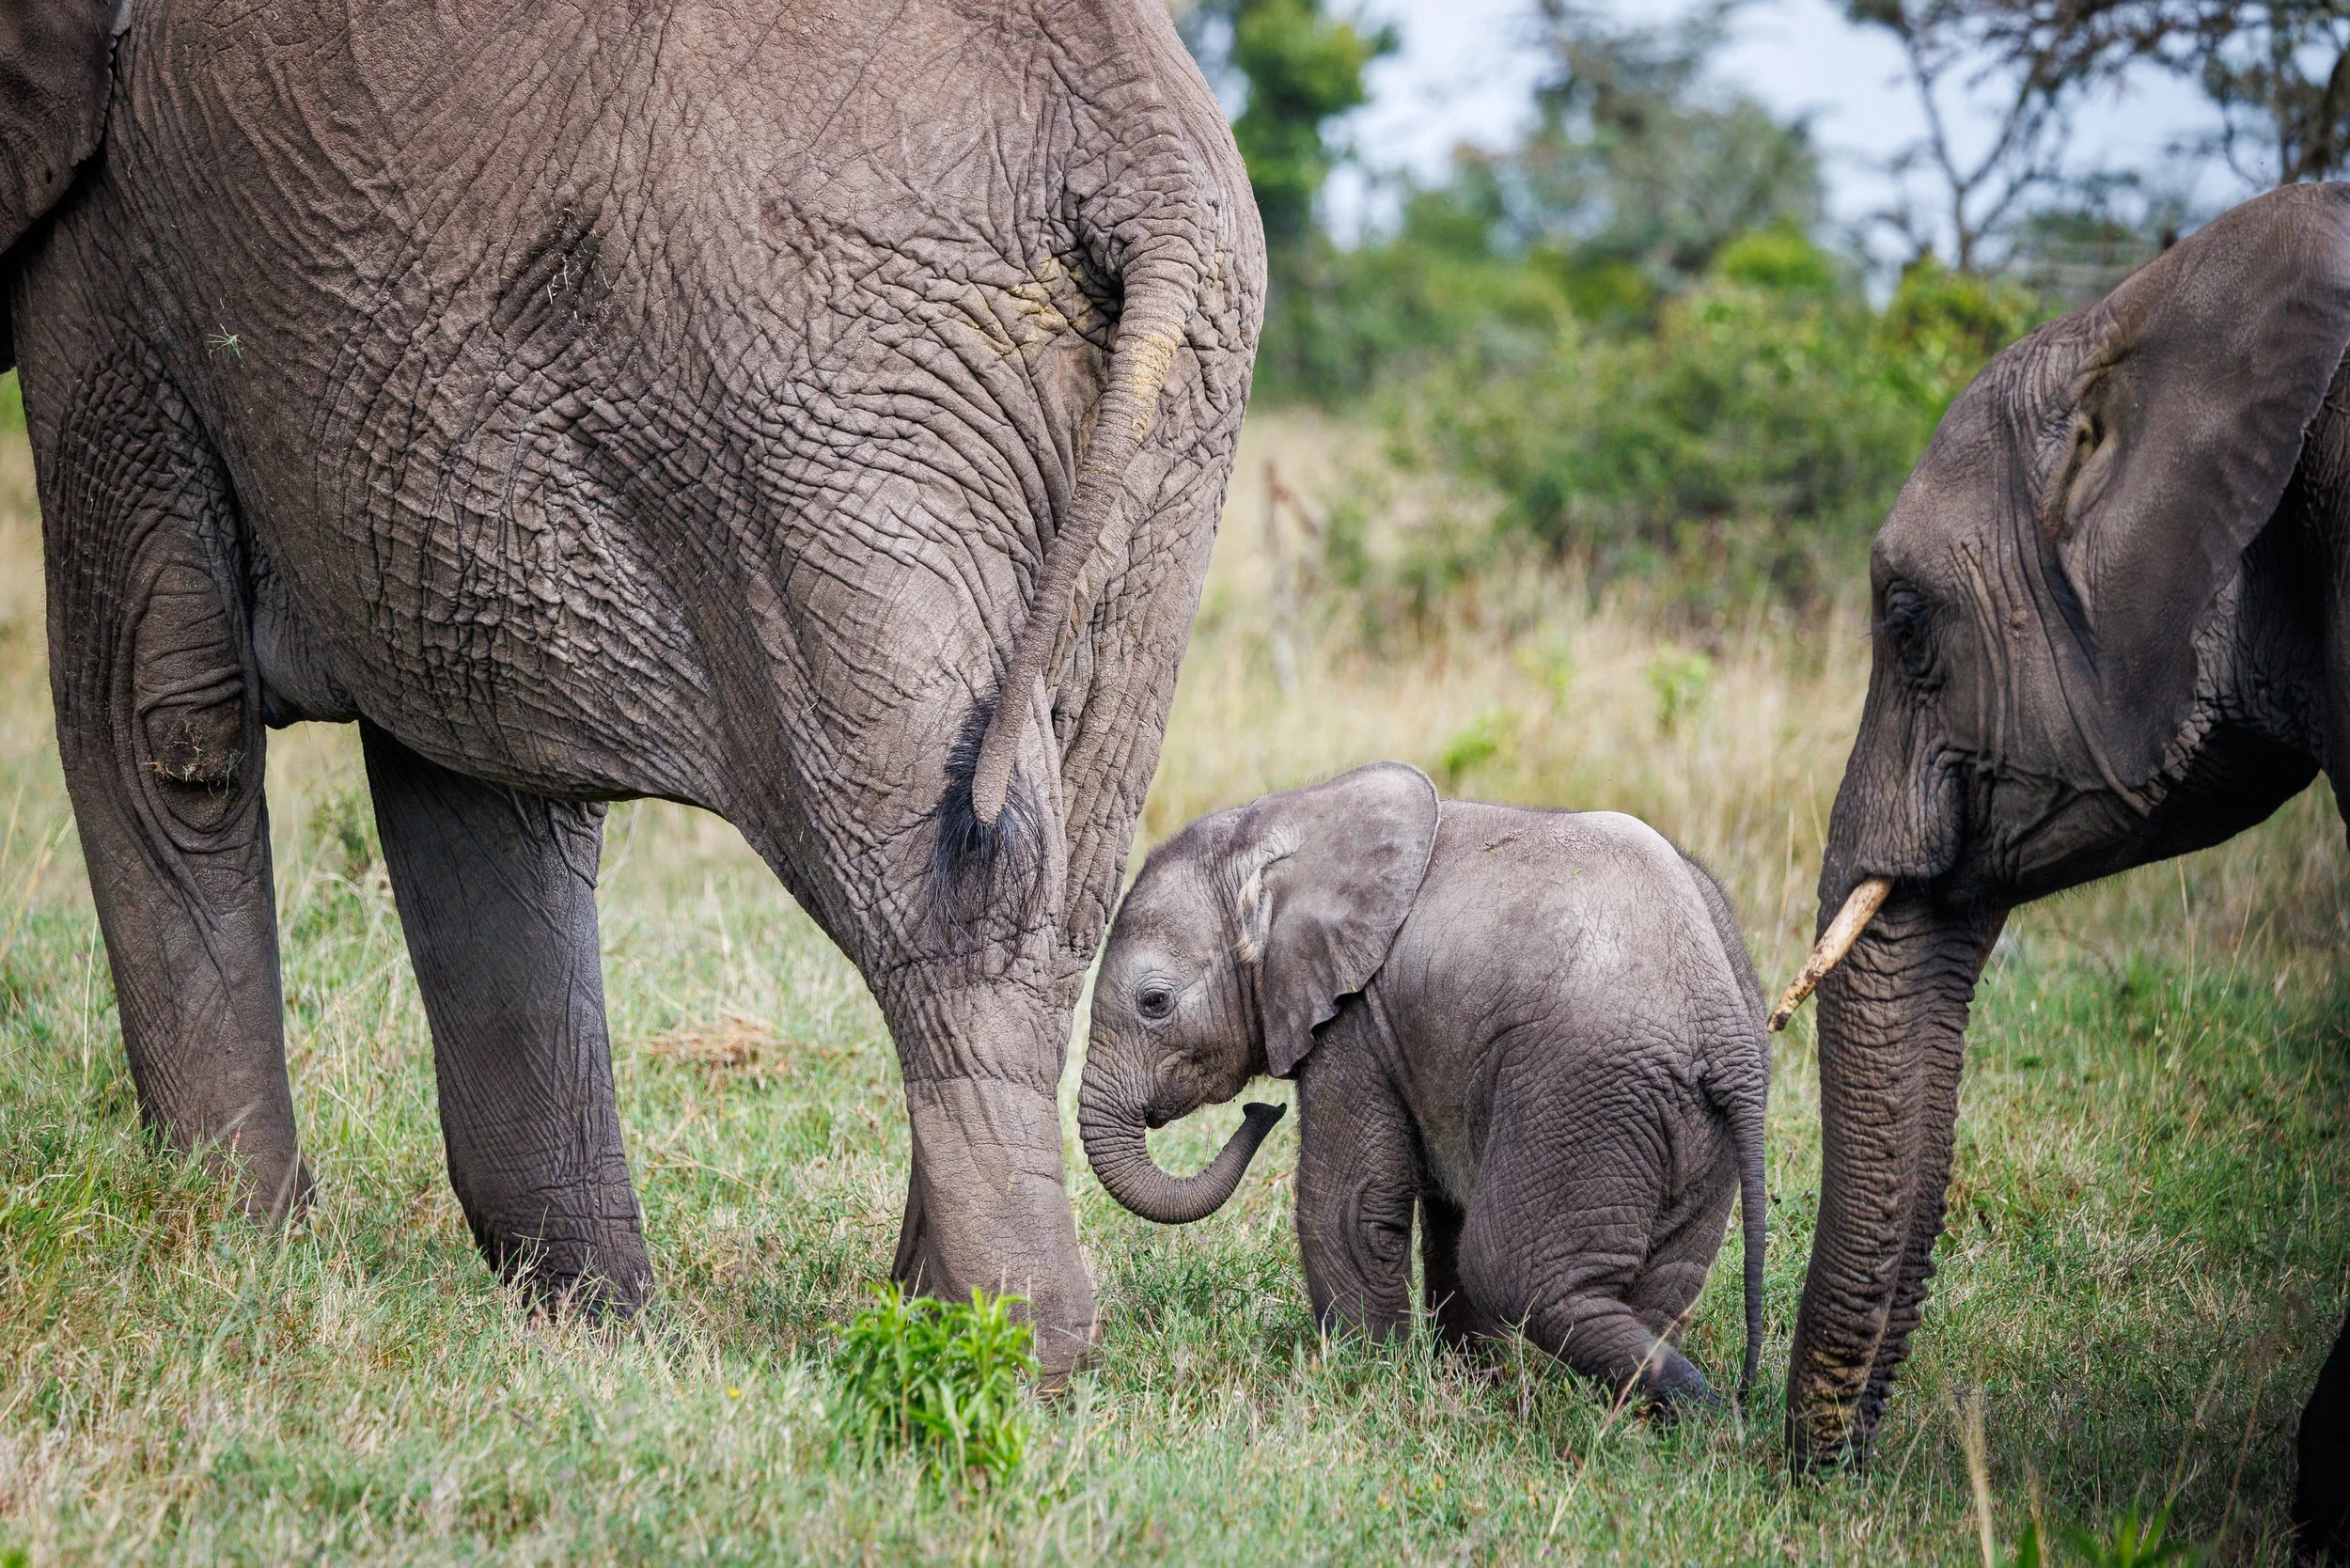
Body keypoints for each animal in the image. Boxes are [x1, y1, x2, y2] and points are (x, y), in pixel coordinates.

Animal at [0, 0, 1263, 1379]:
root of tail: (1144, 162)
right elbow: (472, 792)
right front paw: (590, 1324)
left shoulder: (108, 240)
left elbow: (162, 723)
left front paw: (230, 1263)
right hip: (1155, 430)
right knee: (1065, 872)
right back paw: (948, 1330)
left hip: (827, 400)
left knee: (950, 894)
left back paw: (992, 1354)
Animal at [1077, 762, 1768, 1403]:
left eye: (1155, 1003)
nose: (1261, 1111)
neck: (1284, 823)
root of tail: (1723, 1030)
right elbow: (1442, 1215)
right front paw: (1467, 1381)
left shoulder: (1358, 1021)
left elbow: (1350, 1206)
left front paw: (1363, 1381)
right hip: (1689, 1120)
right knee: (1666, 1281)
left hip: (1584, 1088)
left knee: (1516, 1272)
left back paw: (1705, 1414)